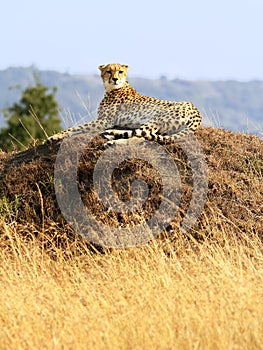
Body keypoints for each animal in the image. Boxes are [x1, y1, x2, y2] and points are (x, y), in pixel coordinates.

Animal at [47, 63, 202, 144]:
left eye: (120, 71)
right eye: (108, 71)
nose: (115, 79)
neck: (112, 88)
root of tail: (196, 110)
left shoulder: (104, 121)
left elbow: (76, 127)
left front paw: (54, 136)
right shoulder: (103, 121)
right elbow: (78, 128)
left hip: (156, 118)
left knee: (139, 135)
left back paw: (112, 138)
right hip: (163, 127)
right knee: (142, 134)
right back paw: (111, 135)